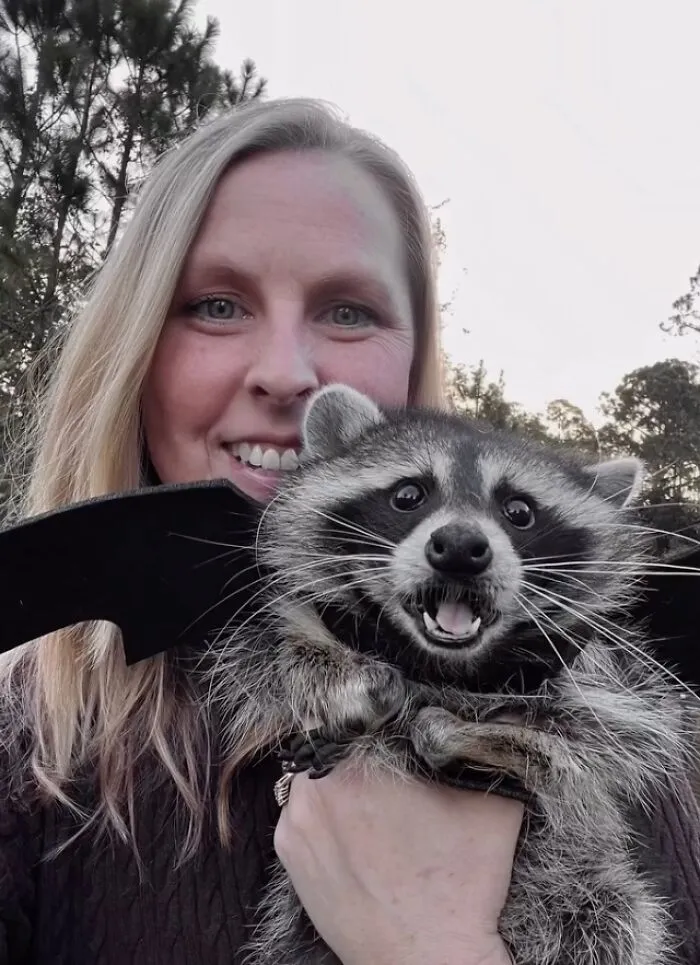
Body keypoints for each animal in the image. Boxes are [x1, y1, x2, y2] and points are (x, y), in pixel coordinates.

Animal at [206, 384, 693, 965]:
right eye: (408, 495)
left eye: (519, 511)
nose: (460, 546)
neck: (440, 665)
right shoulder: (290, 631)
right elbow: (275, 649)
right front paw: (341, 680)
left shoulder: (608, 679)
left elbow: (607, 738)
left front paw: (489, 739)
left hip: (586, 894)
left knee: (602, 918)